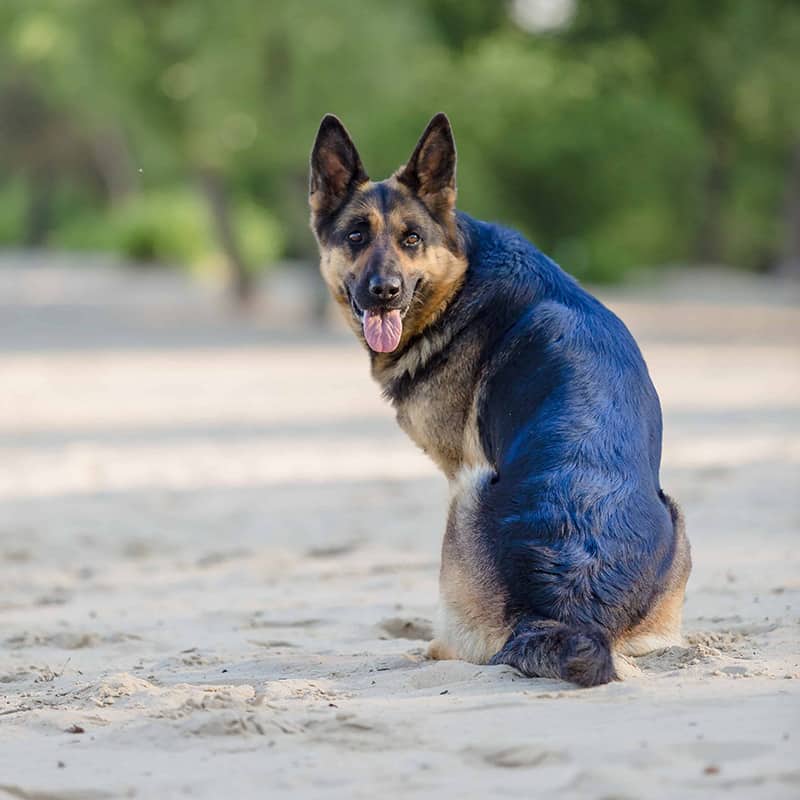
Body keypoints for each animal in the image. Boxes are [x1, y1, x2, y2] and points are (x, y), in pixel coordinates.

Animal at [310, 114, 692, 688]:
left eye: (411, 239)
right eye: (356, 236)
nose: (385, 291)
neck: (459, 277)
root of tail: (571, 610)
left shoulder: (457, 467)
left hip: (466, 497)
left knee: (456, 644)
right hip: (679, 527)